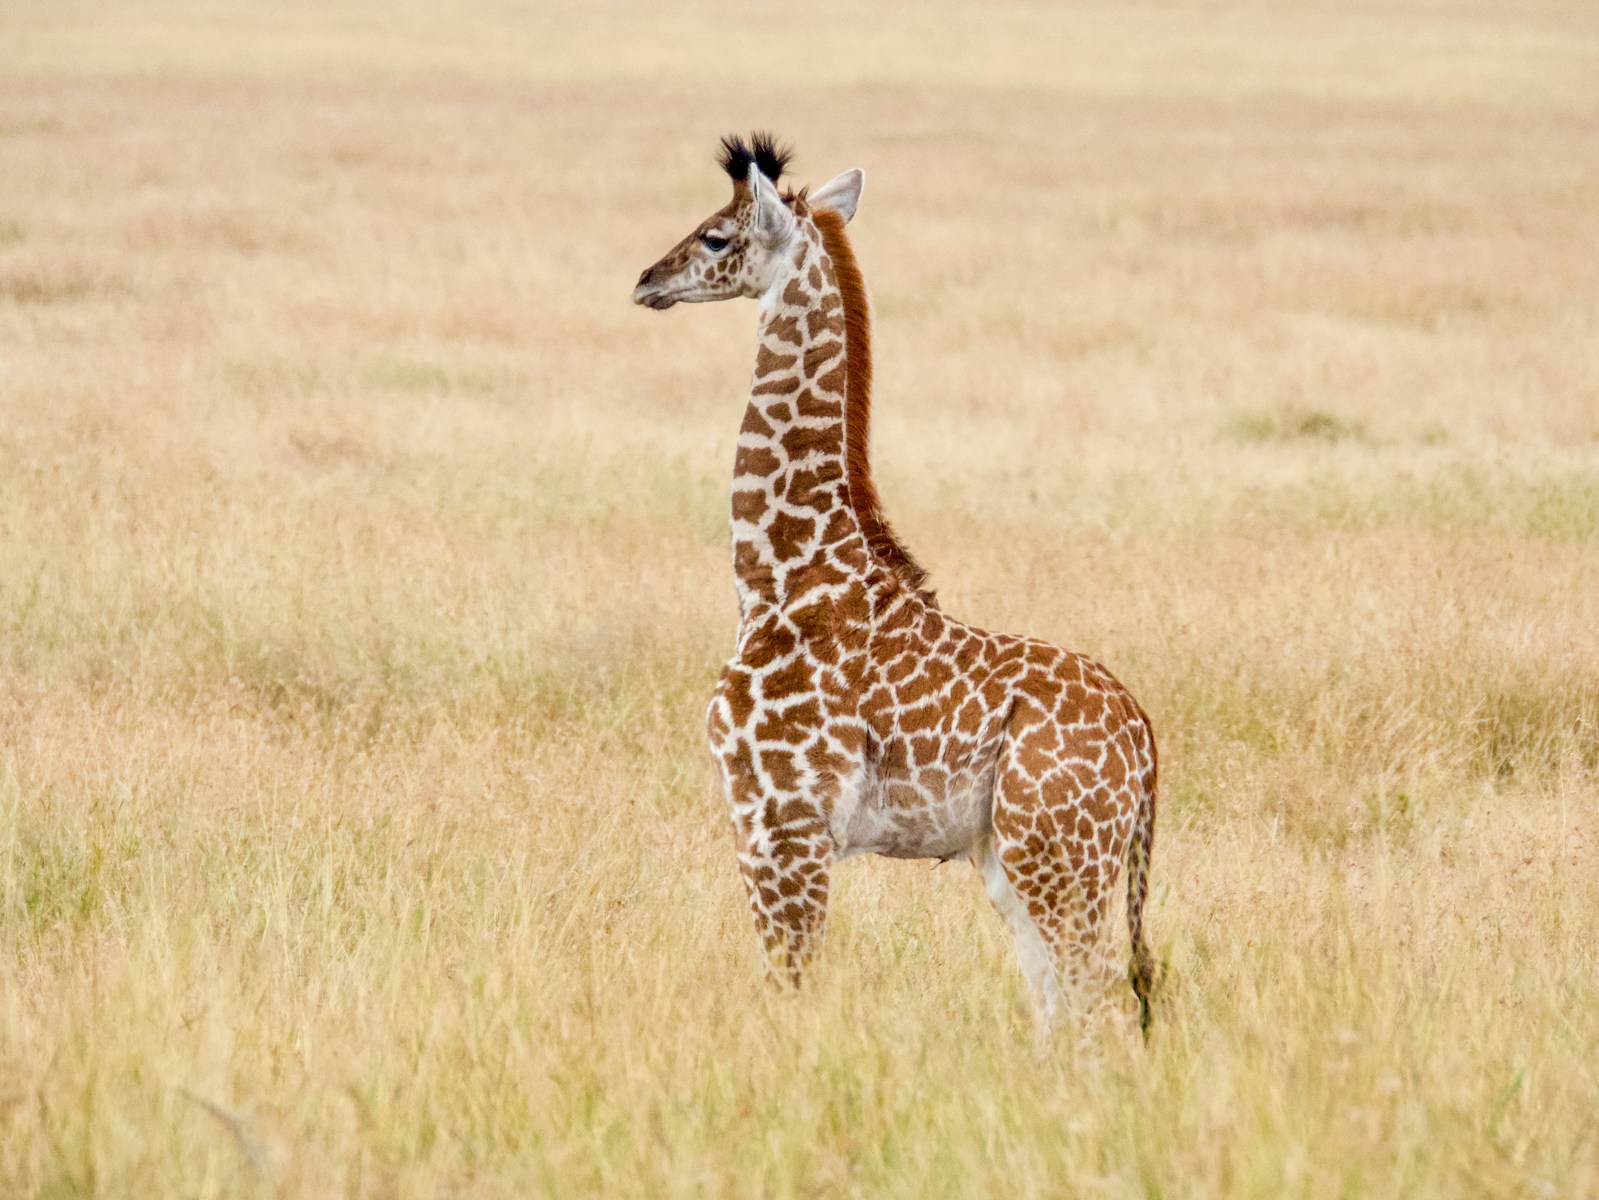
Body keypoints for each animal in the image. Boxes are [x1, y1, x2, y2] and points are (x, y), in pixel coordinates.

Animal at [632, 133, 1161, 1033]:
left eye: (713, 236)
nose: (645, 280)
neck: (781, 574)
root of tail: (1144, 739)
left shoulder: (781, 822)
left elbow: (788, 986)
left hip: (1059, 857)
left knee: (1095, 1005)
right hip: (1017, 861)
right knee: (1056, 1006)